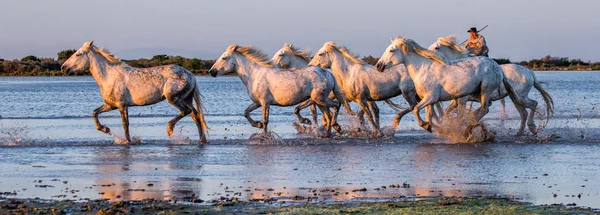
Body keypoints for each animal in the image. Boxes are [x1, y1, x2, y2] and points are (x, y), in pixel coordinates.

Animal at [60, 41, 207, 144]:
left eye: (78, 54)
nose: (63, 68)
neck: (109, 76)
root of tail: (191, 75)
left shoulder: (121, 105)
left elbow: (125, 124)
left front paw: (127, 141)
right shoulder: (111, 105)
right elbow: (95, 113)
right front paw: (106, 129)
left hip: (173, 98)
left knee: (186, 111)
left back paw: (170, 129)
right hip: (185, 99)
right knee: (195, 115)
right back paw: (202, 140)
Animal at [209, 44, 346, 137]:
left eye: (224, 58)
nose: (211, 71)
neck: (255, 75)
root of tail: (328, 73)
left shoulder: (265, 103)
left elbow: (266, 120)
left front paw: (264, 136)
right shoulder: (258, 102)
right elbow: (246, 112)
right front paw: (257, 124)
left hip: (319, 99)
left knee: (336, 106)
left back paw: (336, 127)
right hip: (319, 101)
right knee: (328, 115)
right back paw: (328, 133)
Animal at [376, 37, 510, 134]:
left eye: (391, 50)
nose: (378, 66)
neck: (423, 69)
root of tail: (497, 66)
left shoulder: (432, 97)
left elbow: (416, 109)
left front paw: (430, 126)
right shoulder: (429, 99)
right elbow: (429, 115)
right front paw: (433, 127)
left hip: (485, 90)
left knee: (485, 108)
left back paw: (469, 123)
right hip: (476, 93)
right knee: (486, 106)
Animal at [428, 36, 556, 135]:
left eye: (436, 47)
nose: (426, 55)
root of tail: (529, 72)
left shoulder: (462, 100)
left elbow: (459, 114)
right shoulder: (456, 101)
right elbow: (447, 112)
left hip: (521, 97)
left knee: (533, 104)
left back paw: (532, 128)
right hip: (515, 98)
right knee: (523, 113)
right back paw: (519, 133)